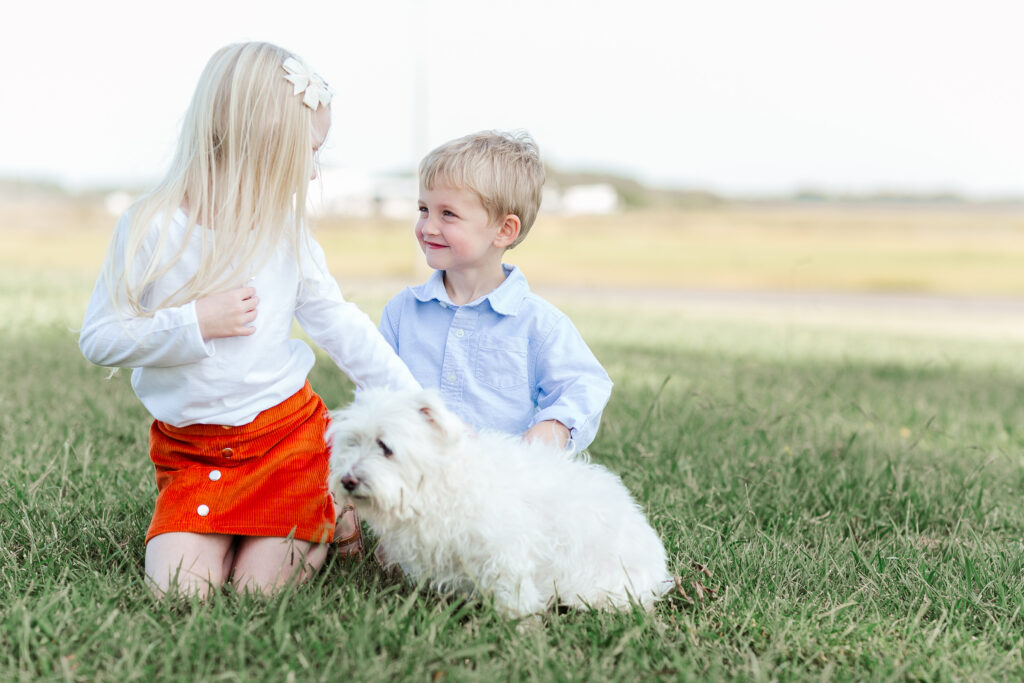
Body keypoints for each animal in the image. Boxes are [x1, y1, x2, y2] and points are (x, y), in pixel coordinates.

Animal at [323, 389, 667, 618]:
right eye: (352, 442)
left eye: (385, 446)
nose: (347, 480)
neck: (440, 478)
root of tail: (659, 572)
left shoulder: (507, 550)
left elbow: (514, 592)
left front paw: (519, 625)